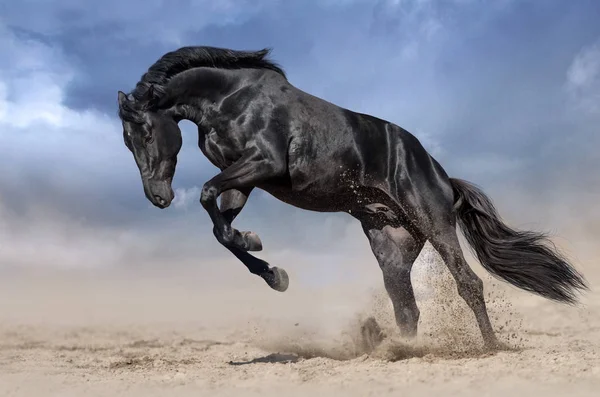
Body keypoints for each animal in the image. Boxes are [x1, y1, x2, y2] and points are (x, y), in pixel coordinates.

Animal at [116, 47, 584, 350]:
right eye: (126, 141)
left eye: (145, 133)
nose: (157, 197)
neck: (231, 99)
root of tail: (444, 177)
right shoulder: (244, 179)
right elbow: (222, 229)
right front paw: (271, 268)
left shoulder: (263, 163)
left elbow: (208, 196)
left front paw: (264, 259)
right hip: (391, 244)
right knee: (406, 306)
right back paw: (401, 349)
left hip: (434, 224)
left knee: (468, 283)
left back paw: (491, 347)